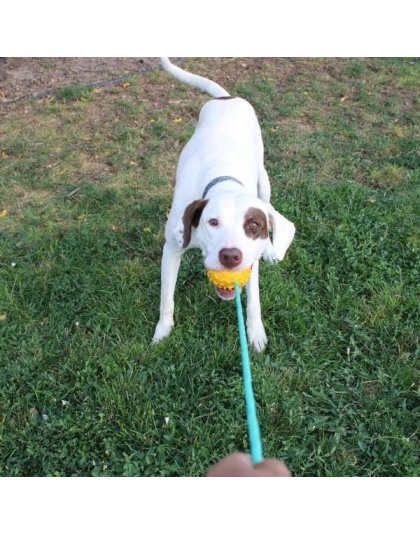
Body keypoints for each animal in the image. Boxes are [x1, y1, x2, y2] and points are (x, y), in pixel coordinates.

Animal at [152, 59, 296, 352]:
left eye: (253, 225)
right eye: (213, 222)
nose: (231, 256)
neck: (224, 181)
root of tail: (226, 98)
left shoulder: (250, 263)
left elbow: (254, 302)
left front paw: (255, 334)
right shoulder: (171, 249)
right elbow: (166, 299)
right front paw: (162, 331)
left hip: (264, 180)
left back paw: (272, 250)